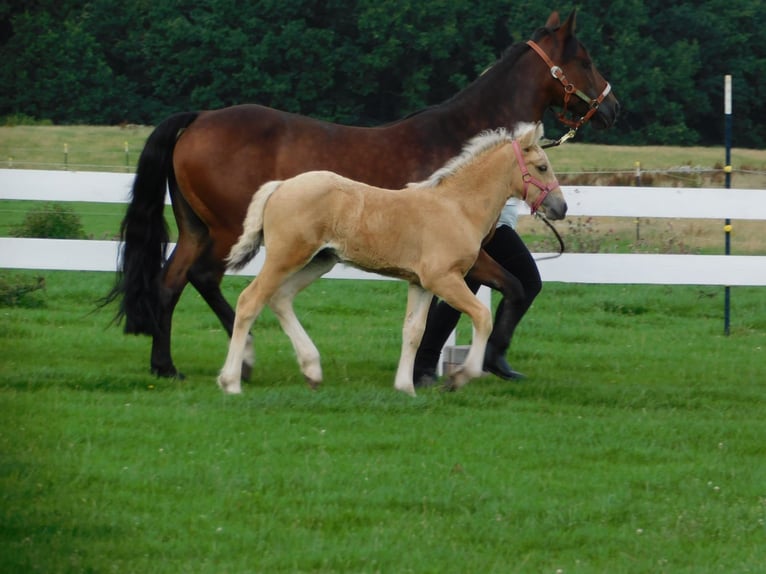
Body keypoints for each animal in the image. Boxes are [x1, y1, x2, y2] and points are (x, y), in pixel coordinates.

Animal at [217, 122, 565, 396]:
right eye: (542, 167)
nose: (560, 208)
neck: (457, 206)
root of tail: (280, 186)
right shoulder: (443, 278)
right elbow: (482, 316)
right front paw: (460, 377)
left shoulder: (421, 283)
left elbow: (413, 331)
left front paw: (405, 387)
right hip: (285, 257)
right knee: (250, 301)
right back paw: (231, 381)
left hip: (319, 260)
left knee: (280, 298)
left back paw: (312, 370)